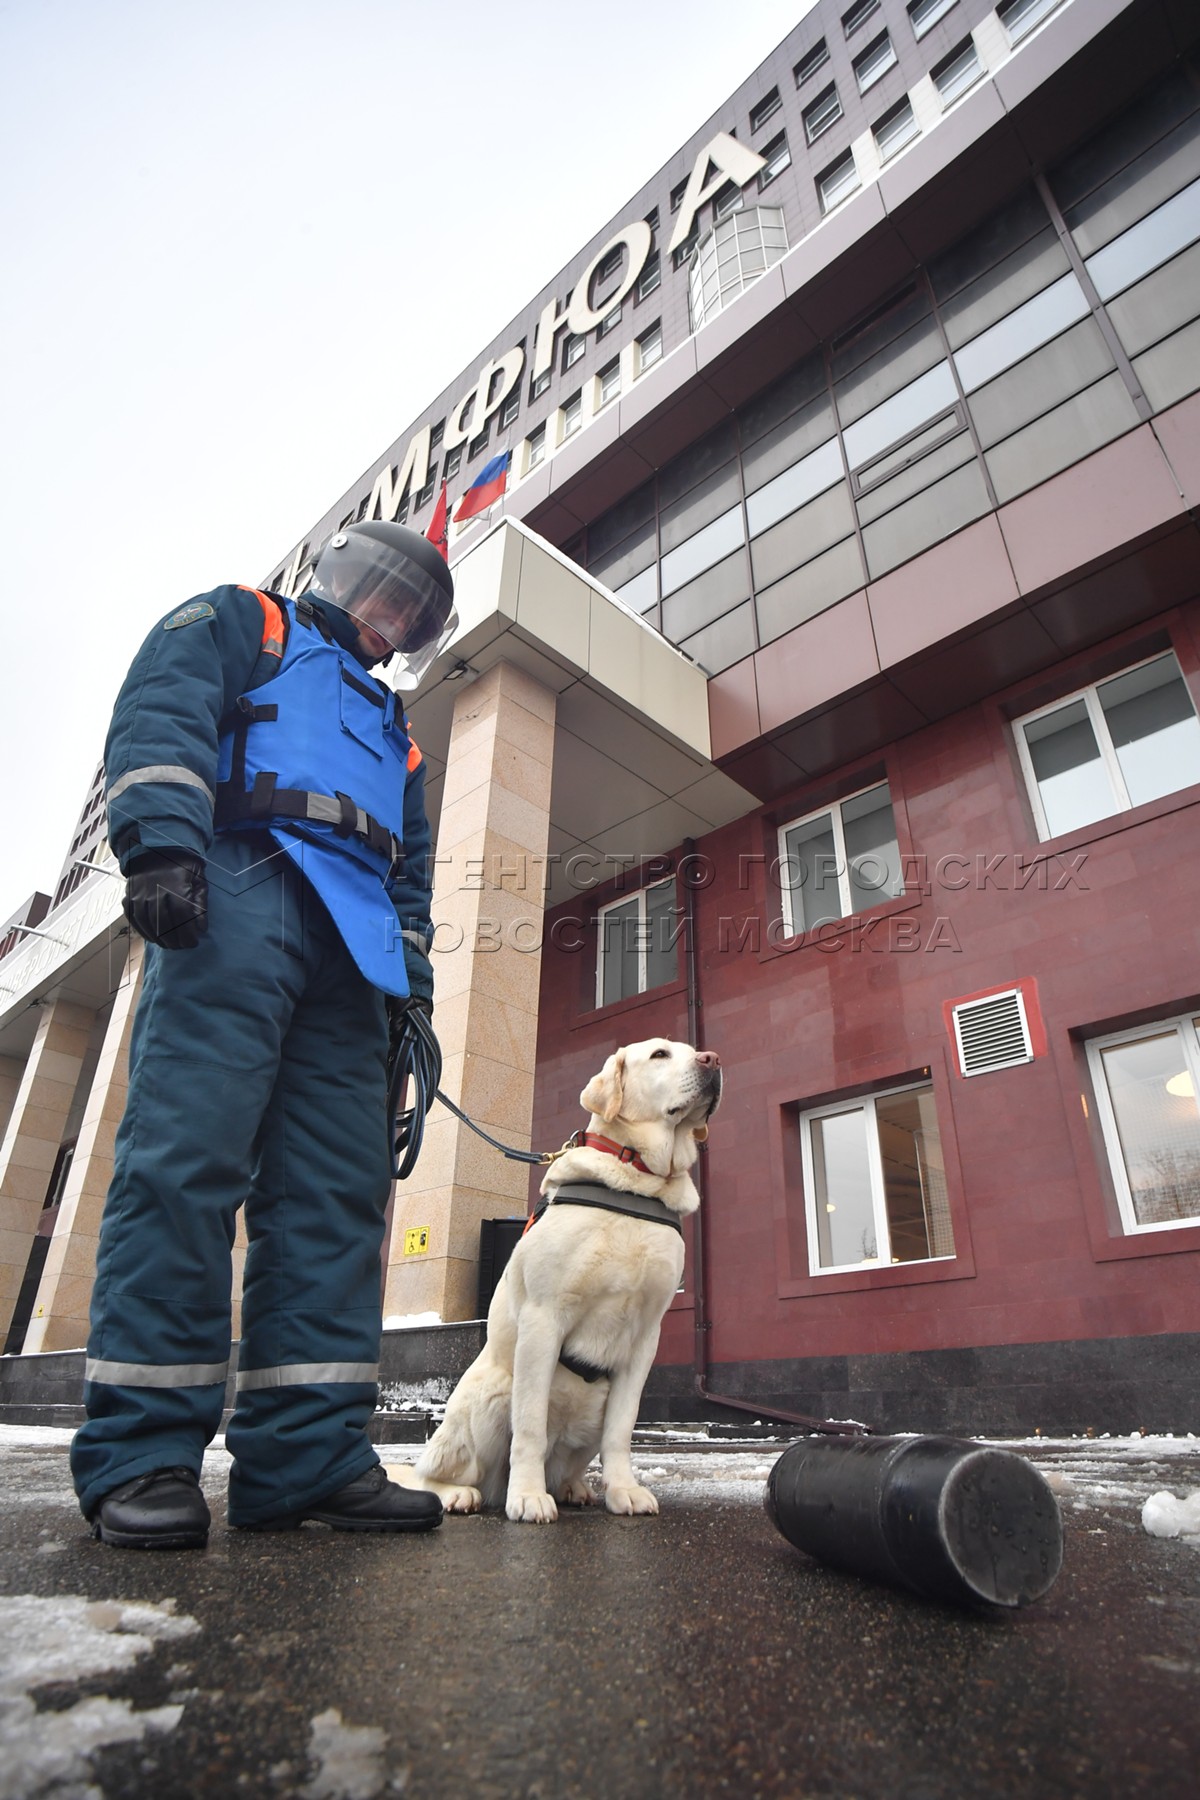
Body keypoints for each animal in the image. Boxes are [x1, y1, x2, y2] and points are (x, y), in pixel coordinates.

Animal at [390, 1044, 719, 1519]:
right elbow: (529, 1427)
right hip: (490, 1394)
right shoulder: (544, 1318)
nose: (712, 1060)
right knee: (434, 1472)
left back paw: (573, 1487)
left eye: (694, 1052)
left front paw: (624, 1491)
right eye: (659, 1054)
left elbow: (621, 1430)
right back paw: (461, 1494)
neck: (635, 1180)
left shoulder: (645, 1338)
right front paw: (528, 1497)